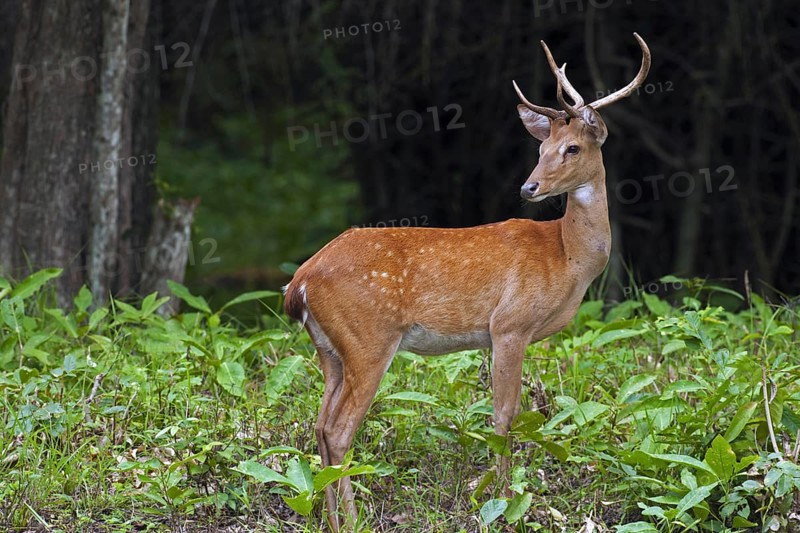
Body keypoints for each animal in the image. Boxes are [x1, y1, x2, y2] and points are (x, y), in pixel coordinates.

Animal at [284, 33, 651, 531]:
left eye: (572, 148)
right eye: (542, 150)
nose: (529, 187)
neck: (567, 258)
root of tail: (298, 283)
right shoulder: (510, 323)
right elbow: (504, 416)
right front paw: (504, 500)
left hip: (328, 349)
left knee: (320, 425)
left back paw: (330, 518)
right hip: (368, 339)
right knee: (339, 430)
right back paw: (355, 520)